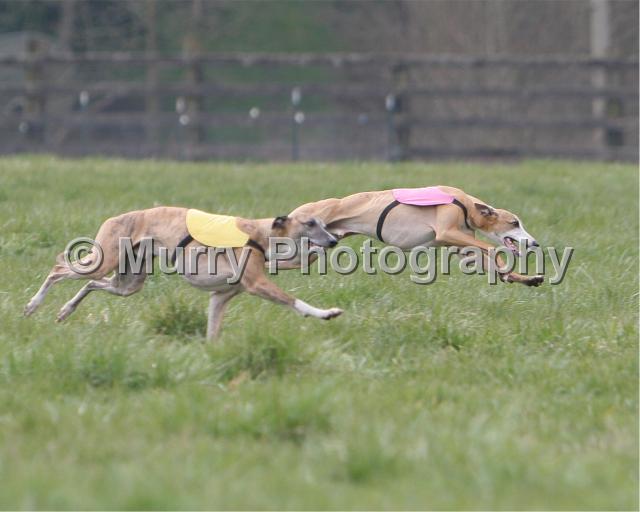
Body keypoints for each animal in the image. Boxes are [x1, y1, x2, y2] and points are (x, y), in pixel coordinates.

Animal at [24, 207, 343, 340]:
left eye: (324, 223)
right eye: (310, 223)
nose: (334, 241)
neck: (260, 234)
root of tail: (115, 217)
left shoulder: (220, 297)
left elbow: (213, 332)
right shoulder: (256, 284)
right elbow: (295, 302)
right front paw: (327, 313)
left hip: (128, 282)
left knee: (91, 283)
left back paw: (66, 310)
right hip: (103, 260)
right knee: (58, 269)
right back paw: (33, 305)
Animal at [285, 185, 544, 286]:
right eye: (514, 223)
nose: (534, 243)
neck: (467, 205)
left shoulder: (464, 246)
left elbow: (483, 258)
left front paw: (527, 278)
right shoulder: (447, 230)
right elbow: (490, 248)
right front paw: (505, 268)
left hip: (308, 254)